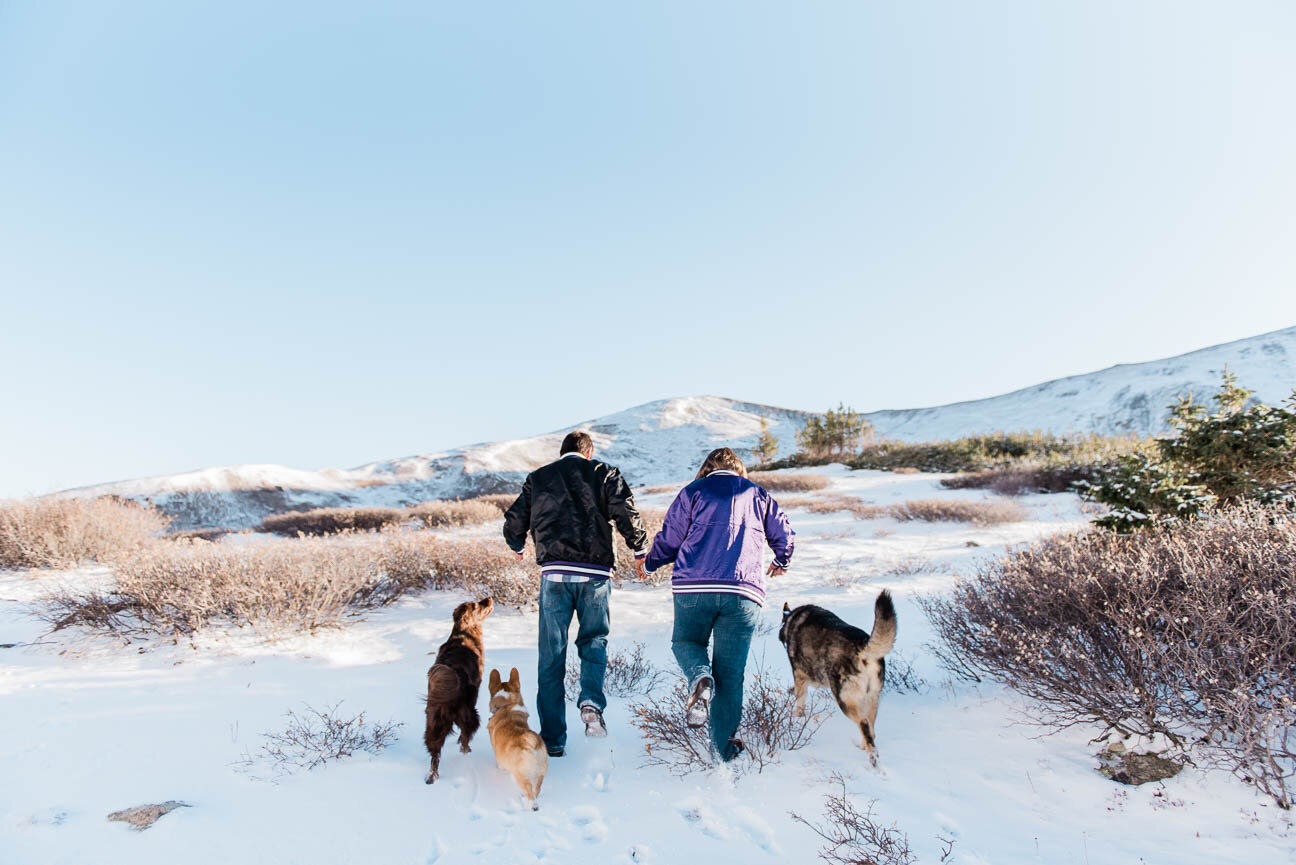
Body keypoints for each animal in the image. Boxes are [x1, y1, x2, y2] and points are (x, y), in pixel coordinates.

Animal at [422, 599, 492, 783]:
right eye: (478, 605)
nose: (489, 598)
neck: (463, 632)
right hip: (470, 714)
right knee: (466, 736)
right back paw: (466, 751)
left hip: (434, 723)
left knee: (434, 752)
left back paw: (432, 776)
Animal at [487, 669, 546, 814]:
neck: (506, 705)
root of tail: (531, 742)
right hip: (540, 773)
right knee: (537, 789)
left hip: (521, 776)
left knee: (530, 792)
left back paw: (532, 806)